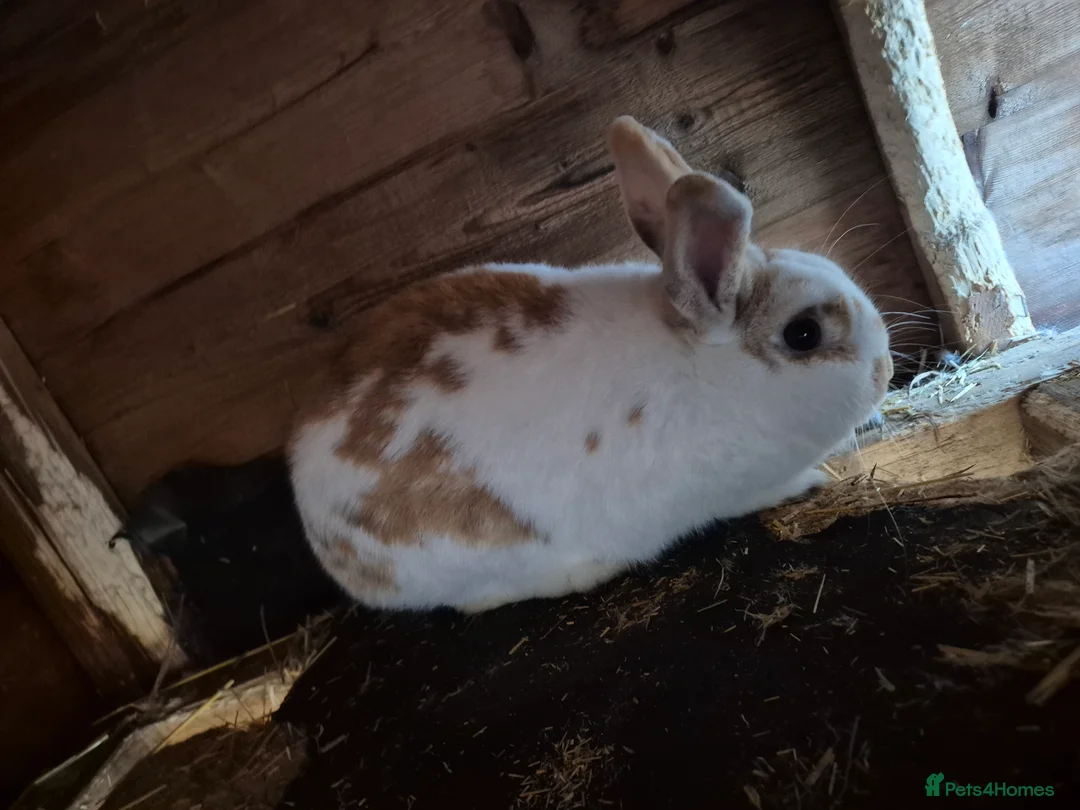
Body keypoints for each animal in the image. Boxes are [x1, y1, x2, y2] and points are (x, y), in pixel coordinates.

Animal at [286, 115, 894, 614]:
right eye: (804, 334)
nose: (885, 369)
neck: (708, 373)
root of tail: (318, 530)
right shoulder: (728, 490)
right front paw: (811, 479)